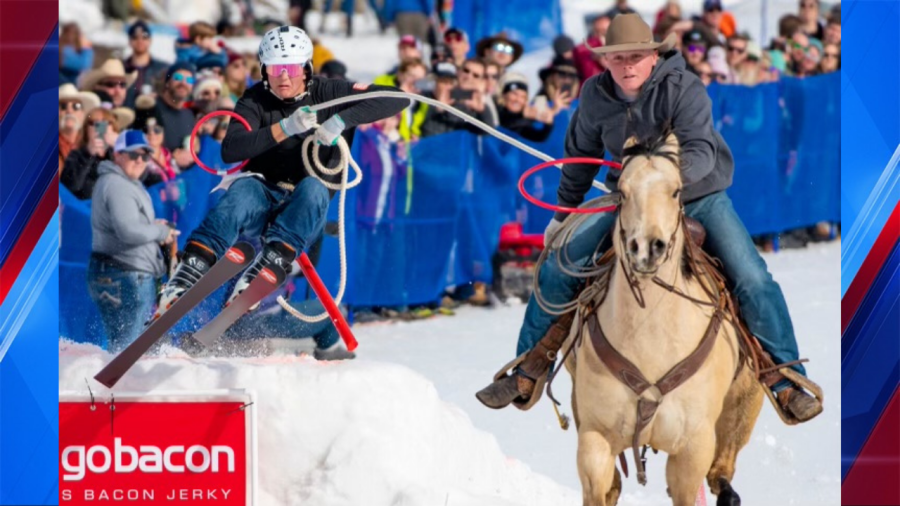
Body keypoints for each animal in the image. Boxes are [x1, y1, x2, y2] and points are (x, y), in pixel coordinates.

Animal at [568, 131, 764, 506]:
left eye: (675, 191)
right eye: (622, 191)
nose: (646, 247)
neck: (650, 340)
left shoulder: (692, 450)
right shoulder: (594, 437)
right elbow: (599, 486)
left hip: (743, 403)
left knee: (721, 471)